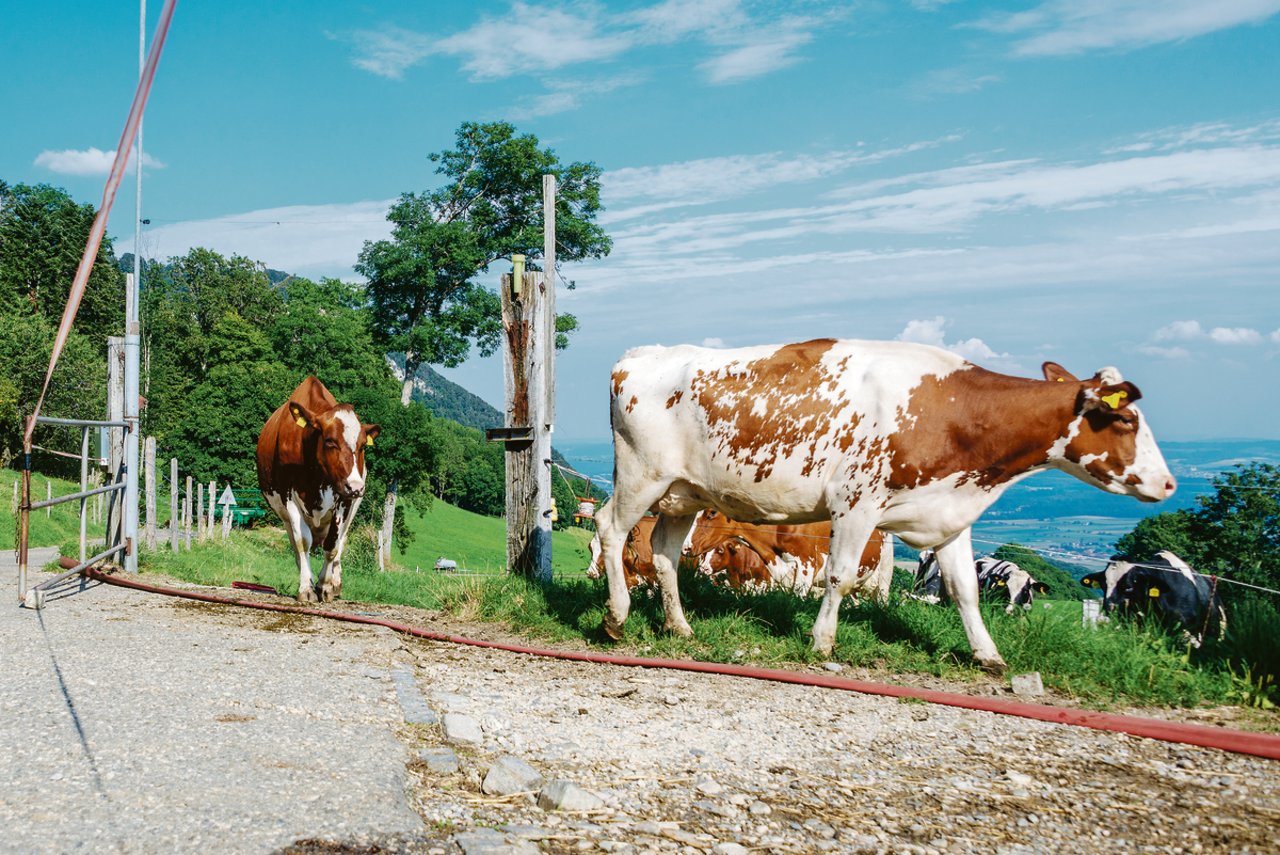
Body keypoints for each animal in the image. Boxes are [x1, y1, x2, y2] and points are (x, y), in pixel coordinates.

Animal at [256, 376, 376, 604]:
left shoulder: (345, 499)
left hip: (353, 507)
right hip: (284, 515)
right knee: (298, 546)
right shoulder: (289, 497)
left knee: (341, 540)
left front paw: (325, 586)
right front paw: (307, 587)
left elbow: (332, 545)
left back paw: (334, 582)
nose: (356, 487)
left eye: (363, 445)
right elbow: (302, 543)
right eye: (330, 441)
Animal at [593, 337, 1172, 670]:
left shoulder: (949, 512)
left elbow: (965, 590)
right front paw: (822, 643)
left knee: (665, 554)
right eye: (1125, 419)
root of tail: (640, 355)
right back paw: (617, 617)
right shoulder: (856, 503)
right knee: (609, 528)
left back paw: (679, 626)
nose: (1168, 484)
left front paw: (988, 655)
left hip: (683, 493)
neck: (952, 411)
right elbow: (841, 575)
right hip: (641, 476)